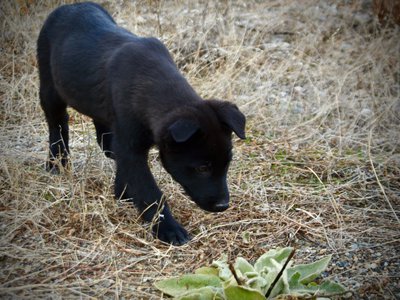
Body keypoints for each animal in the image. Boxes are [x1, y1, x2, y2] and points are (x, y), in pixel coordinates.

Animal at [37, 1, 245, 246]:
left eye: (227, 164)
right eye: (202, 168)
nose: (223, 206)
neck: (151, 85)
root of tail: (70, 6)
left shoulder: (126, 146)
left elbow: (126, 170)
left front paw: (123, 194)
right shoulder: (131, 148)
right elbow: (150, 192)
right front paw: (168, 229)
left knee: (105, 140)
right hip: (49, 87)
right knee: (57, 125)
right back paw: (56, 162)